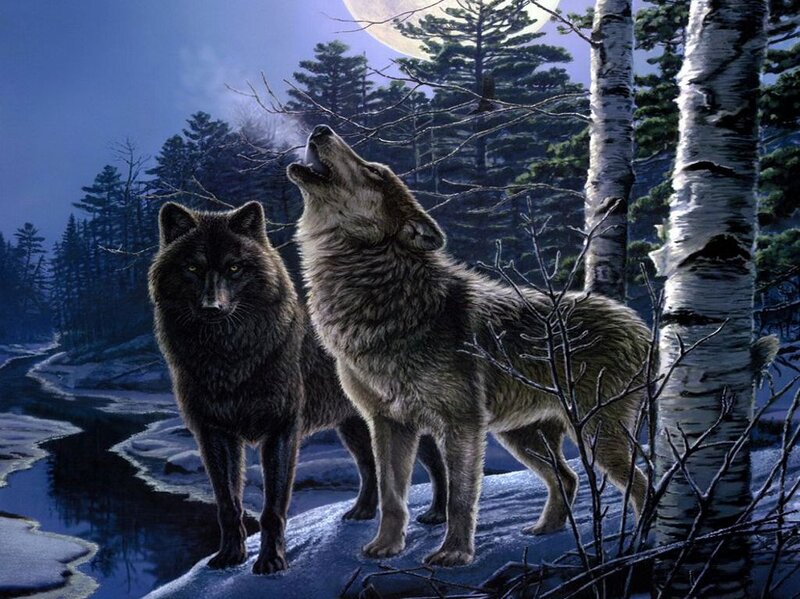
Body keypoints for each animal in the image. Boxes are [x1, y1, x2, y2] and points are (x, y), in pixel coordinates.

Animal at [149, 201, 447, 574]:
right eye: (192, 267)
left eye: (234, 267)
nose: (212, 307)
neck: (227, 356)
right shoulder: (213, 433)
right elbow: (228, 504)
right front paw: (230, 557)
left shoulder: (281, 429)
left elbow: (272, 509)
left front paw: (272, 561)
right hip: (352, 428)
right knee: (369, 468)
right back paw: (361, 513)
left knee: (437, 463)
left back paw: (438, 516)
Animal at [288, 125, 652, 567]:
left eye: (374, 171)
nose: (320, 130)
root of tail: (639, 324)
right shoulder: (388, 423)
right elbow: (393, 497)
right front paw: (385, 548)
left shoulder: (461, 423)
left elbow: (461, 497)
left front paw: (455, 553)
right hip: (523, 438)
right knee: (568, 478)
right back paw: (545, 529)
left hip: (596, 436)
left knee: (643, 483)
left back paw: (645, 542)